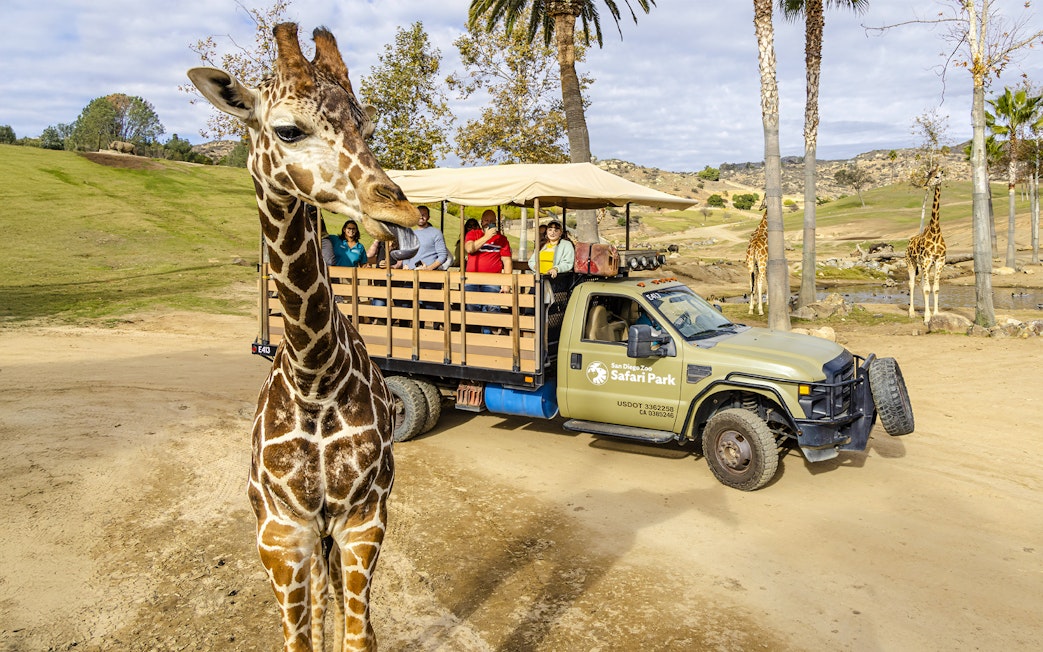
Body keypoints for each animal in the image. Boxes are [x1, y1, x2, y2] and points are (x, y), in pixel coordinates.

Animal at [189, 23, 419, 651]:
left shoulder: (364, 519)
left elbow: (358, 636)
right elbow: (300, 638)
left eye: (368, 128)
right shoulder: (279, 534)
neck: (313, 374)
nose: (403, 211)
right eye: (288, 130)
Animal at [906, 167, 946, 324]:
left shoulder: (939, 261)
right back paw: (911, 312)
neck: (935, 231)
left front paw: (935, 314)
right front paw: (928, 318)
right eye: (928, 175)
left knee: (923, 285)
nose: (925, 184)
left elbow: (935, 288)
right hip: (911, 262)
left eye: (937, 176)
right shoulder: (926, 261)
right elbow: (927, 288)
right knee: (911, 284)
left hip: (926, 266)